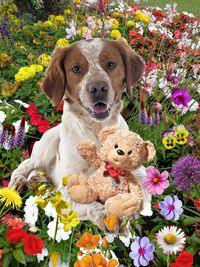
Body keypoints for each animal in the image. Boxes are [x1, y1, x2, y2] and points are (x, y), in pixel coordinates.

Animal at [8, 37, 152, 226]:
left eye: (110, 64)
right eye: (76, 68)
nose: (98, 88)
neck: (98, 130)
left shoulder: (139, 172)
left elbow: (142, 192)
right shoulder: (69, 186)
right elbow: (94, 206)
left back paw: (37, 180)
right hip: (46, 146)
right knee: (26, 164)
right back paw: (17, 183)